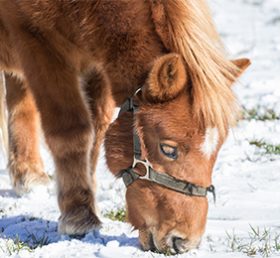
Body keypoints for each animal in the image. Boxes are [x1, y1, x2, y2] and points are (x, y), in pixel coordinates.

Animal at [0, 0, 249, 254]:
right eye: (168, 149)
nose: (183, 242)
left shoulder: (97, 60)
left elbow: (97, 129)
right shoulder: (38, 44)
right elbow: (72, 131)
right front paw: (78, 215)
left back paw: (28, 175)